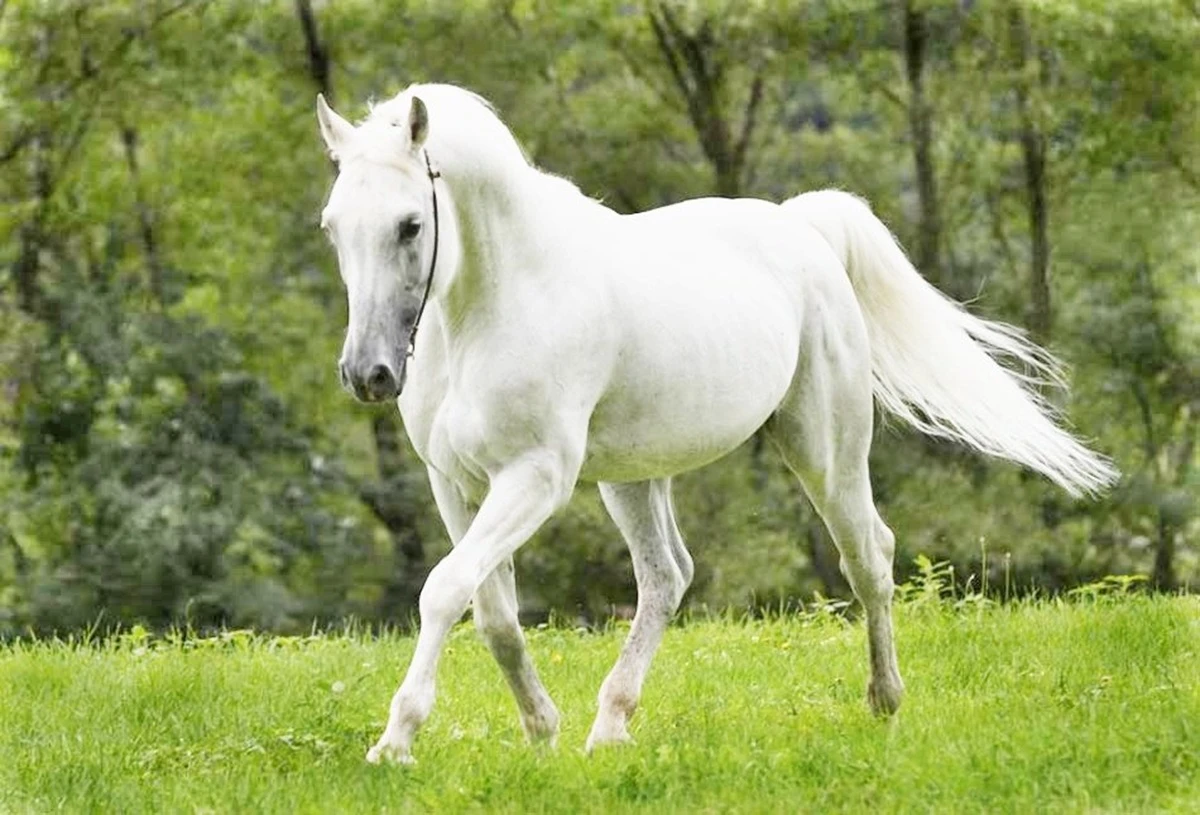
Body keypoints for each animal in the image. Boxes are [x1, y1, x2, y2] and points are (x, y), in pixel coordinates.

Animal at [314, 83, 1117, 765]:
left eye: (410, 225)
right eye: (333, 227)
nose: (367, 374)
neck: (495, 303)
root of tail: (803, 227)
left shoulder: (535, 477)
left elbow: (444, 590)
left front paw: (396, 740)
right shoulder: (454, 483)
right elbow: (491, 611)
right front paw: (541, 730)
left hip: (823, 451)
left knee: (869, 558)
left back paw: (884, 703)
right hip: (633, 477)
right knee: (667, 577)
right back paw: (609, 728)